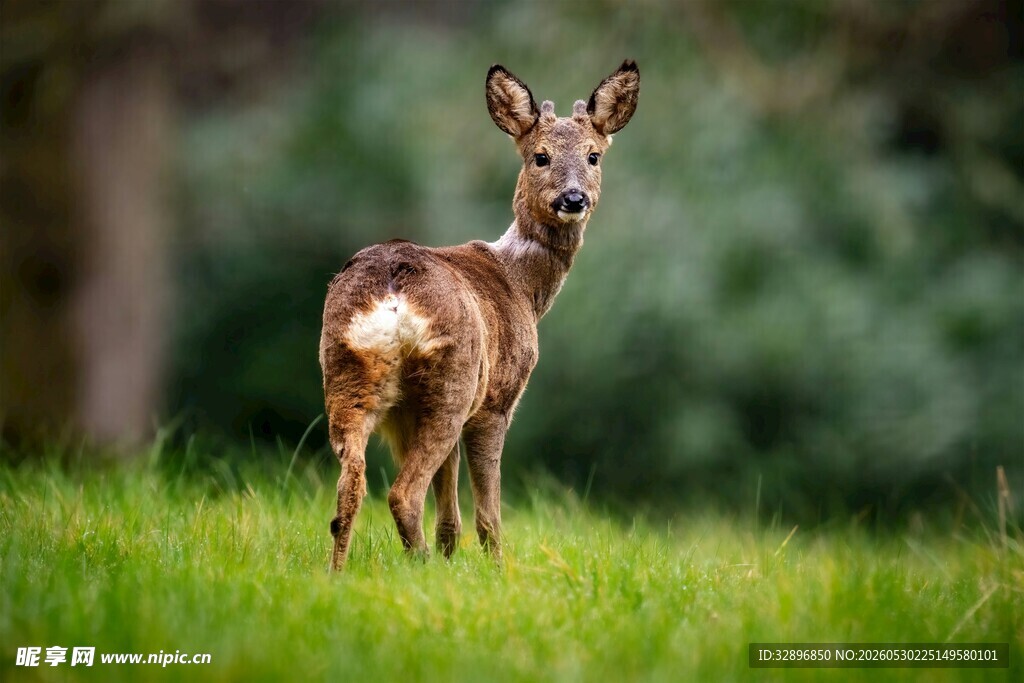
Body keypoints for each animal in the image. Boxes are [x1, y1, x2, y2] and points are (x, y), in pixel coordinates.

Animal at [319, 61, 639, 570]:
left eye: (594, 156)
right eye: (540, 157)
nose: (573, 199)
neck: (522, 284)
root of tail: (391, 291)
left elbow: (450, 512)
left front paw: (453, 561)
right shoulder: (496, 400)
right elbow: (488, 514)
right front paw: (497, 571)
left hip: (347, 377)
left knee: (350, 489)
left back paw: (339, 574)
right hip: (451, 382)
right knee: (402, 493)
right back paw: (419, 566)